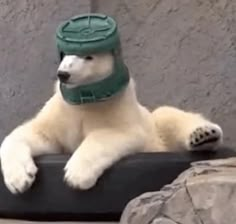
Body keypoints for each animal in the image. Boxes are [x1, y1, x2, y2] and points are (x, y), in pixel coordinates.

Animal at [0, 51, 223, 193]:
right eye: (65, 55)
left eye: (88, 56)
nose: (63, 73)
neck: (86, 99)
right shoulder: (62, 112)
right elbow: (38, 134)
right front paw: (20, 179)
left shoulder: (118, 107)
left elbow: (115, 133)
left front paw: (76, 176)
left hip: (156, 128)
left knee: (166, 114)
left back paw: (204, 135)